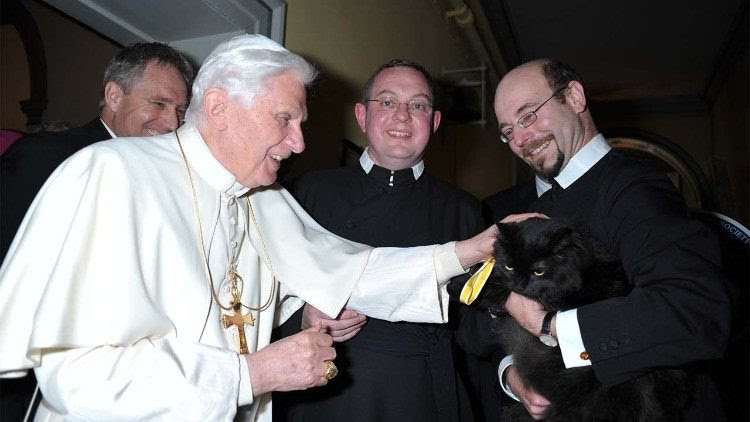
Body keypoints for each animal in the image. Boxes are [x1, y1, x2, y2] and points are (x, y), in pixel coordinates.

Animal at [452, 219, 692, 420]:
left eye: (539, 271)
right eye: (510, 265)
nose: (519, 284)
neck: (579, 267)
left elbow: (495, 288)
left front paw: (457, 286)